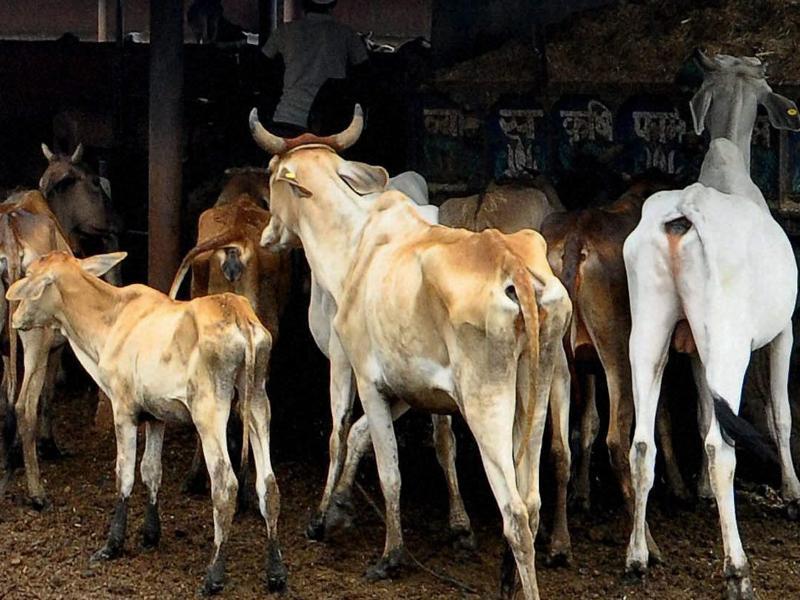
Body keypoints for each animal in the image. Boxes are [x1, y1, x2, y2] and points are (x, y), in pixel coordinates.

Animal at [6, 251, 287, 595]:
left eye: (31, 277)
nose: (16, 318)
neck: (111, 320)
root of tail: (239, 315)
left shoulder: (124, 409)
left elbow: (125, 474)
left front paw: (112, 544)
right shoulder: (156, 416)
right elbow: (152, 472)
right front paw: (150, 534)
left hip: (210, 412)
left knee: (226, 485)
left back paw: (214, 575)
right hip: (258, 402)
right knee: (269, 486)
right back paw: (276, 573)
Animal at [251, 106, 572, 600]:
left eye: (271, 176)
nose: (268, 235)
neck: (356, 244)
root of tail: (511, 262)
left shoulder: (360, 373)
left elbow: (365, 453)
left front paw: (378, 548)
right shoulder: (410, 387)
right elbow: (363, 435)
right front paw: (339, 507)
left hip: (487, 405)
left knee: (515, 512)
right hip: (534, 397)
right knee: (532, 500)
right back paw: (507, 578)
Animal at [540, 171, 690, 553]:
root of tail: (577, 236)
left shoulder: (587, 364)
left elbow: (588, 421)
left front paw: (582, 495)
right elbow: (662, 419)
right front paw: (679, 486)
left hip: (561, 361)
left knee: (559, 445)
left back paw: (559, 541)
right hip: (619, 353)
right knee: (617, 442)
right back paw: (645, 542)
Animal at [623, 51, 800, 599]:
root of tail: (683, 213)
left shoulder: (693, 346)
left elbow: (703, 409)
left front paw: (699, 492)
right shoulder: (784, 331)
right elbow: (781, 413)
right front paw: (792, 491)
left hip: (649, 332)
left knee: (642, 443)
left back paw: (636, 557)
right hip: (729, 344)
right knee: (722, 446)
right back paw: (737, 569)